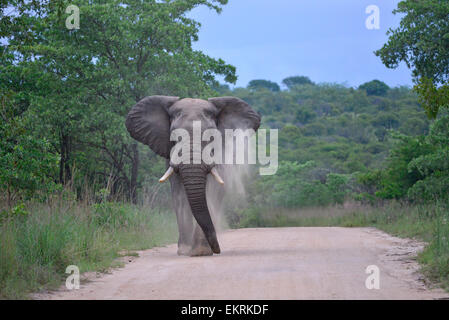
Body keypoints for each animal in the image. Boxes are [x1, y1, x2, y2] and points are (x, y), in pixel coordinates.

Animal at [124, 96, 260, 256]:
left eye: (211, 138)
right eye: (175, 137)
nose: (218, 249)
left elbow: (210, 193)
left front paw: (200, 251)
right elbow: (180, 197)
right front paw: (184, 250)